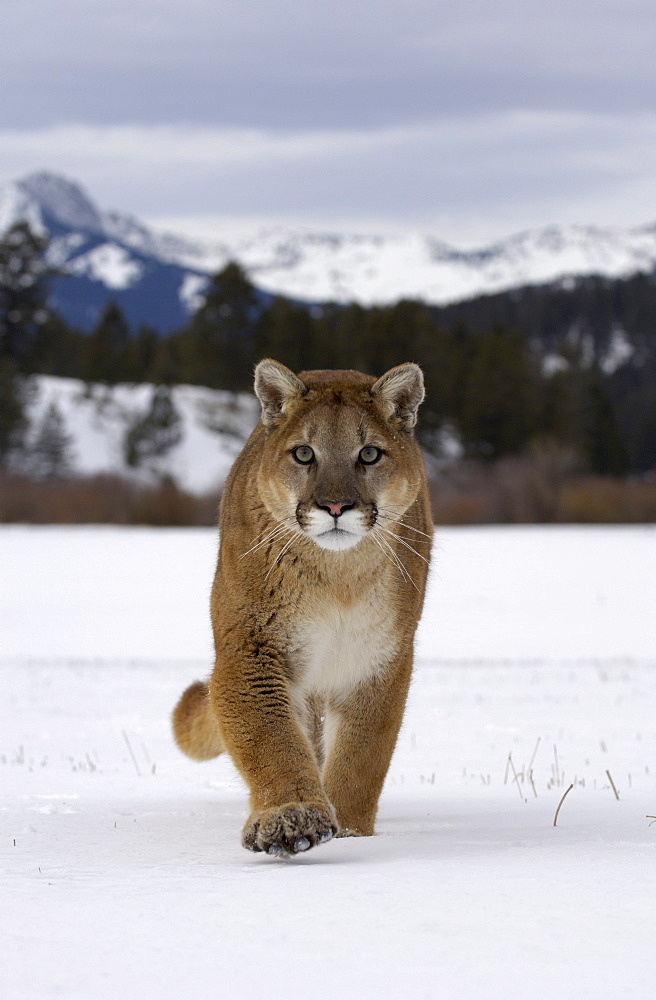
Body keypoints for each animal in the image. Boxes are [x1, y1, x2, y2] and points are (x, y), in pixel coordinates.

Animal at [172, 360, 434, 852]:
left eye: (369, 454)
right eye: (304, 454)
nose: (335, 505)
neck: (336, 578)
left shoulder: (377, 659)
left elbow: (360, 757)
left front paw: (349, 831)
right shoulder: (251, 648)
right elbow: (271, 738)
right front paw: (290, 817)